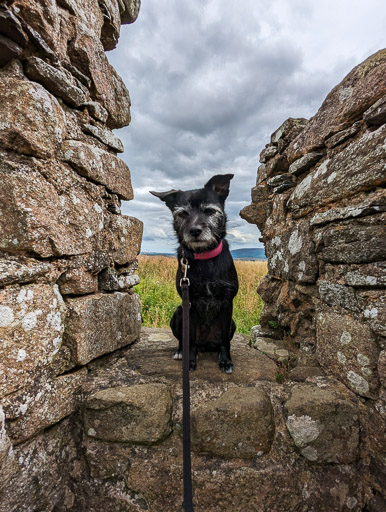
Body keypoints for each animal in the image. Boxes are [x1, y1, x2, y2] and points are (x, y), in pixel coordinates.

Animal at [152, 174, 238, 374]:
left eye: (209, 211)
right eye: (183, 213)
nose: (195, 231)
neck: (204, 256)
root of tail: (205, 346)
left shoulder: (227, 302)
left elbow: (225, 341)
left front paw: (226, 361)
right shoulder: (189, 303)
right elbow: (188, 339)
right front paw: (189, 360)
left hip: (232, 323)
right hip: (178, 312)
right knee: (184, 340)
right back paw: (180, 352)